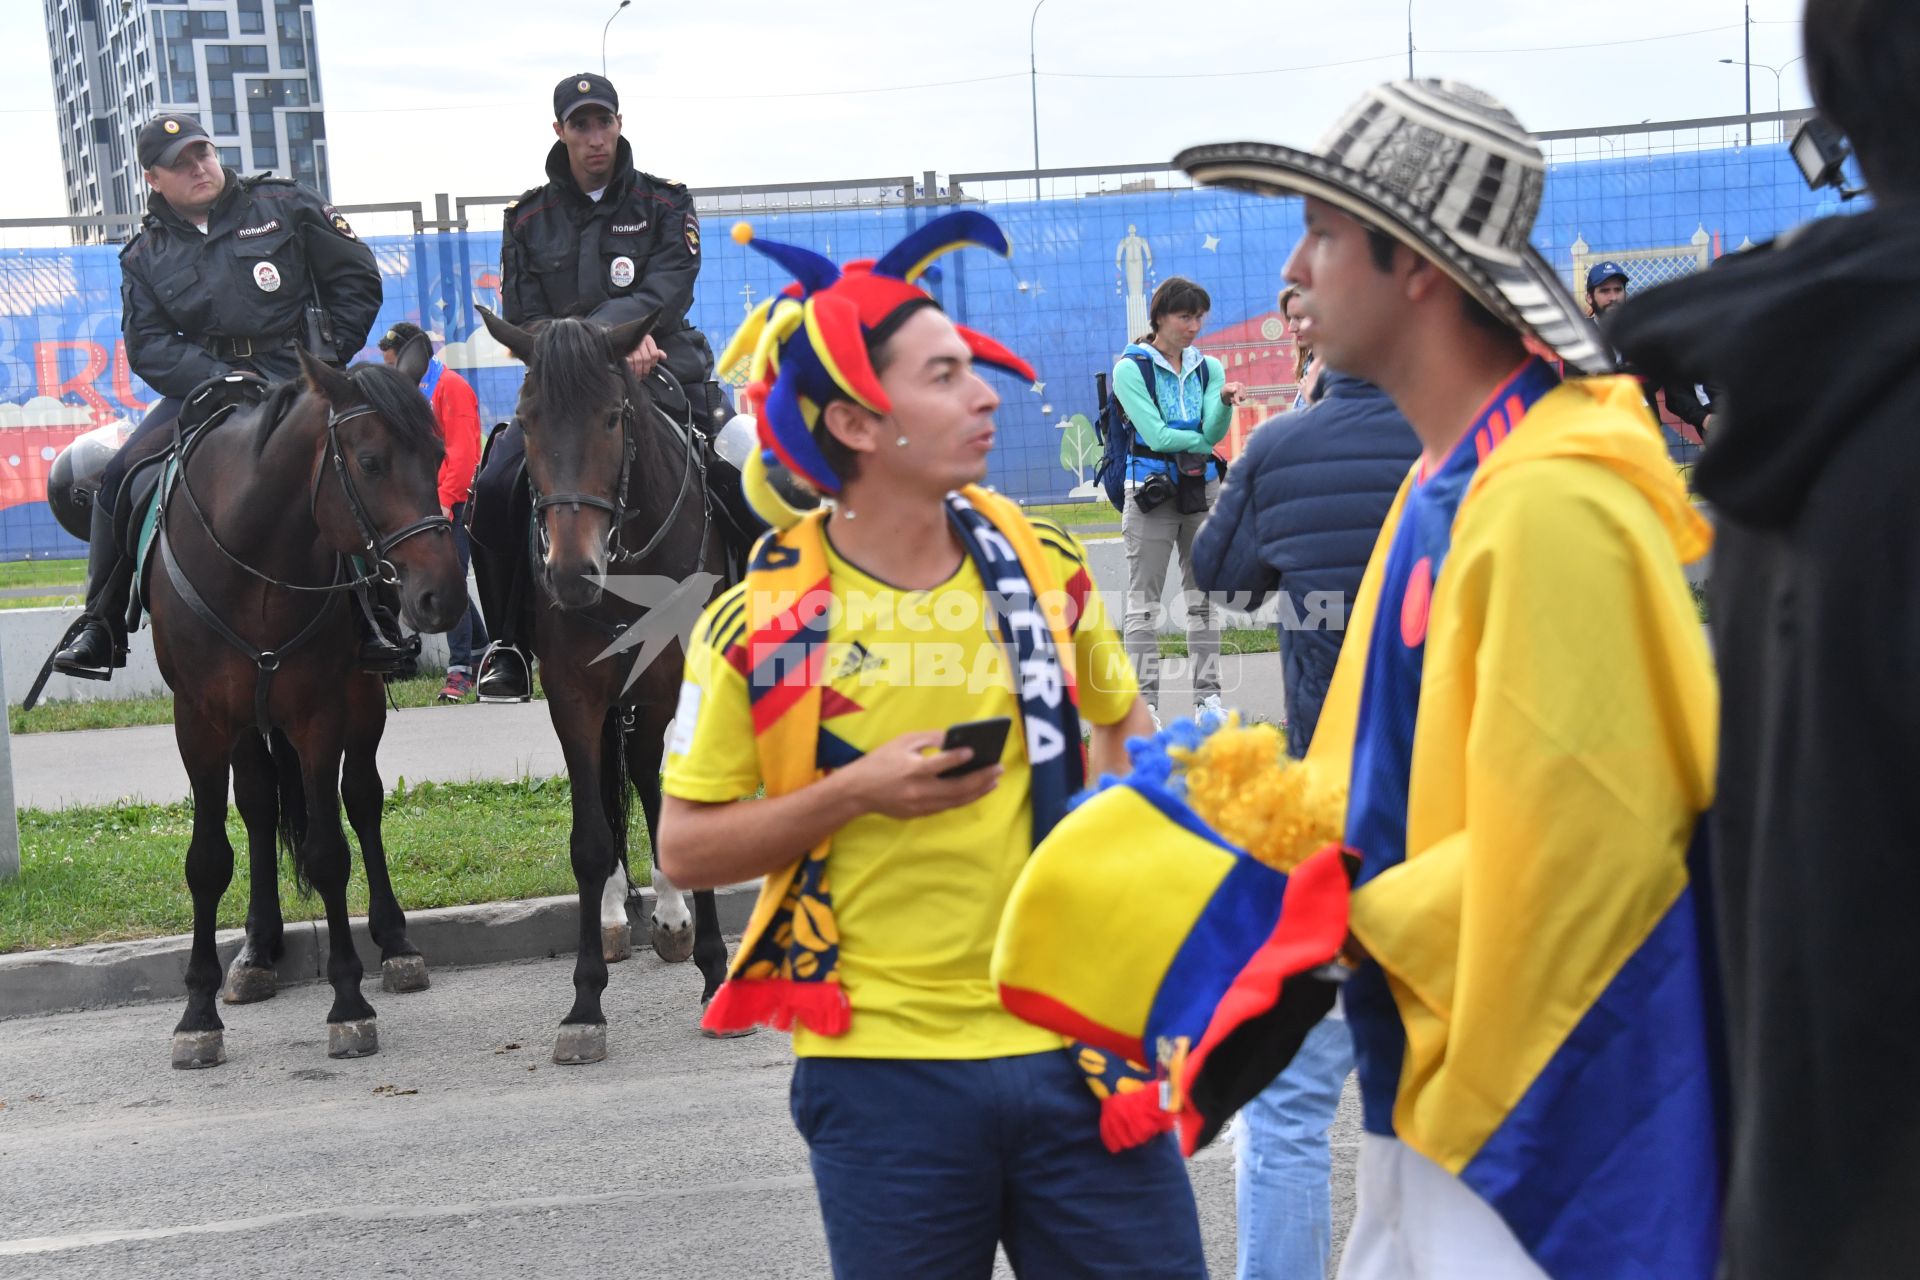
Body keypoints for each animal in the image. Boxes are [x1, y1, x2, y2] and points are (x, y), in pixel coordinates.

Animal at [150, 343, 464, 1074]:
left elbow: (328, 851)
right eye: (372, 462)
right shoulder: (200, 722)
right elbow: (208, 859)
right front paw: (197, 1014)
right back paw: (256, 953)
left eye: (439, 455)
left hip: (360, 703)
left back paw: (396, 945)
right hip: (247, 726)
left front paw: (349, 1001)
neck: (253, 562)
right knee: (261, 807)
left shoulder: (319, 716)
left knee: (363, 801)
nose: (442, 595)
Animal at [474, 305, 733, 1066]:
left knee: (647, 776)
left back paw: (674, 918)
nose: (570, 571)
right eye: (529, 418)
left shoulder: (676, 682)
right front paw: (585, 1006)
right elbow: (590, 840)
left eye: (614, 417)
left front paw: (714, 971)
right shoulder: (575, 695)